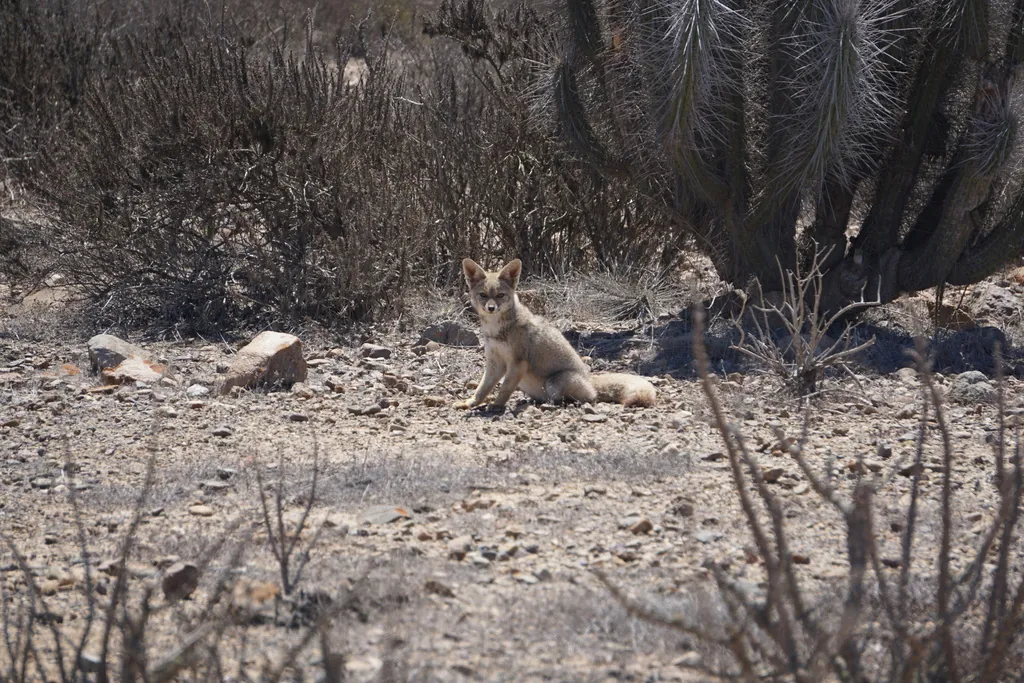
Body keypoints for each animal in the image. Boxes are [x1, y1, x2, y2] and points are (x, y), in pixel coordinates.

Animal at [455, 258, 657, 411]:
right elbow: (482, 389)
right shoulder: (495, 363)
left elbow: (504, 389)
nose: (491, 308)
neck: (496, 331)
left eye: (500, 296)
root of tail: (589, 379)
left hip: (554, 381)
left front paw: (496, 406)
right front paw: (470, 403)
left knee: (588, 398)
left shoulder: (517, 363)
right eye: (483, 295)